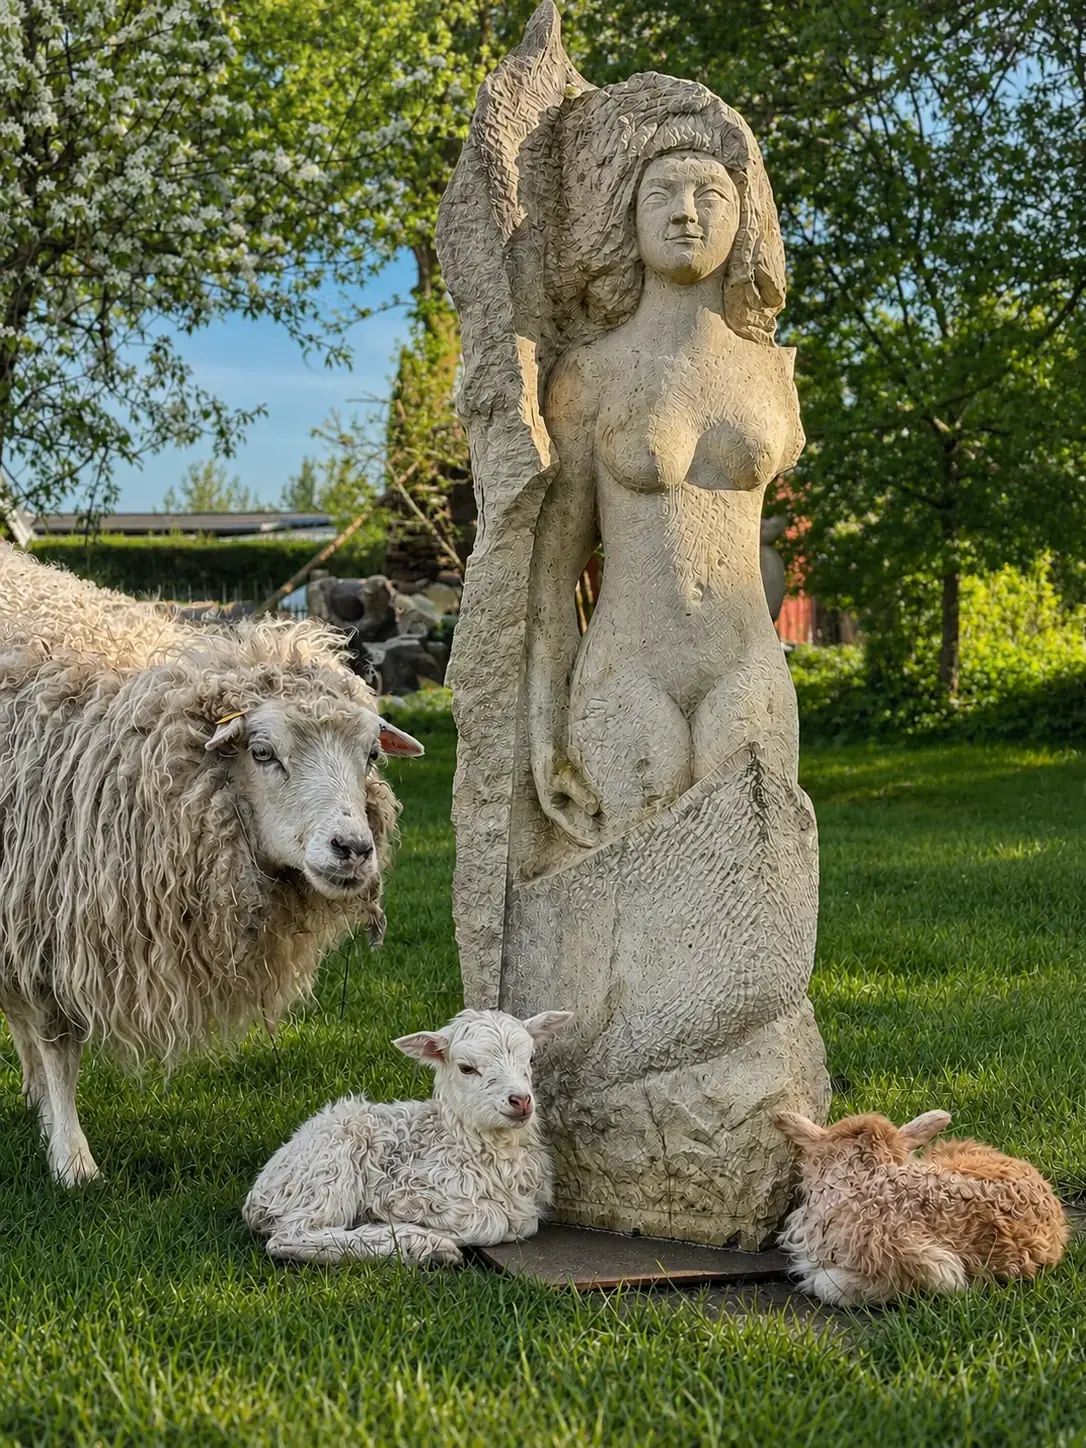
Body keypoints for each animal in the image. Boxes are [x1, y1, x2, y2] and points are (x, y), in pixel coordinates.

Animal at [0, 546, 424, 1185]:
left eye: (371, 754)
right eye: (263, 752)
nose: (353, 848)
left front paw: (48, 1113)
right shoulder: (44, 920)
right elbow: (58, 1044)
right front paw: (72, 1159)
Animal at [243, 1008, 573, 1266]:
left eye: (530, 1060)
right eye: (467, 1068)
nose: (521, 1100)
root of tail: (258, 1195)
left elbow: (524, 1223)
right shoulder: (404, 1190)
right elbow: (494, 1221)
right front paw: (425, 1232)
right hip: (330, 1170)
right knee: (290, 1236)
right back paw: (427, 1246)